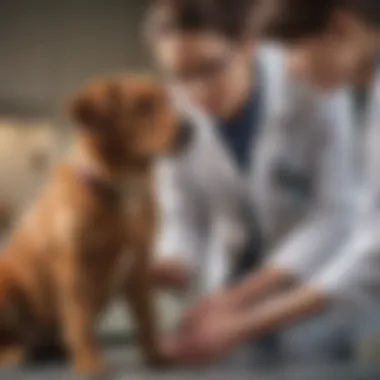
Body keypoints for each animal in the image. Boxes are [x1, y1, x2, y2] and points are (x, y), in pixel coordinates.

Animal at [0, 74, 186, 374]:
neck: (121, 187)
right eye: (142, 106)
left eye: (169, 102)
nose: (190, 130)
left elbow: (147, 317)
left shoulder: (139, 265)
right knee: (14, 339)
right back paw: (15, 354)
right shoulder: (74, 266)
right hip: (7, 286)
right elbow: (81, 322)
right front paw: (91, 363)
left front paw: (157, 356)